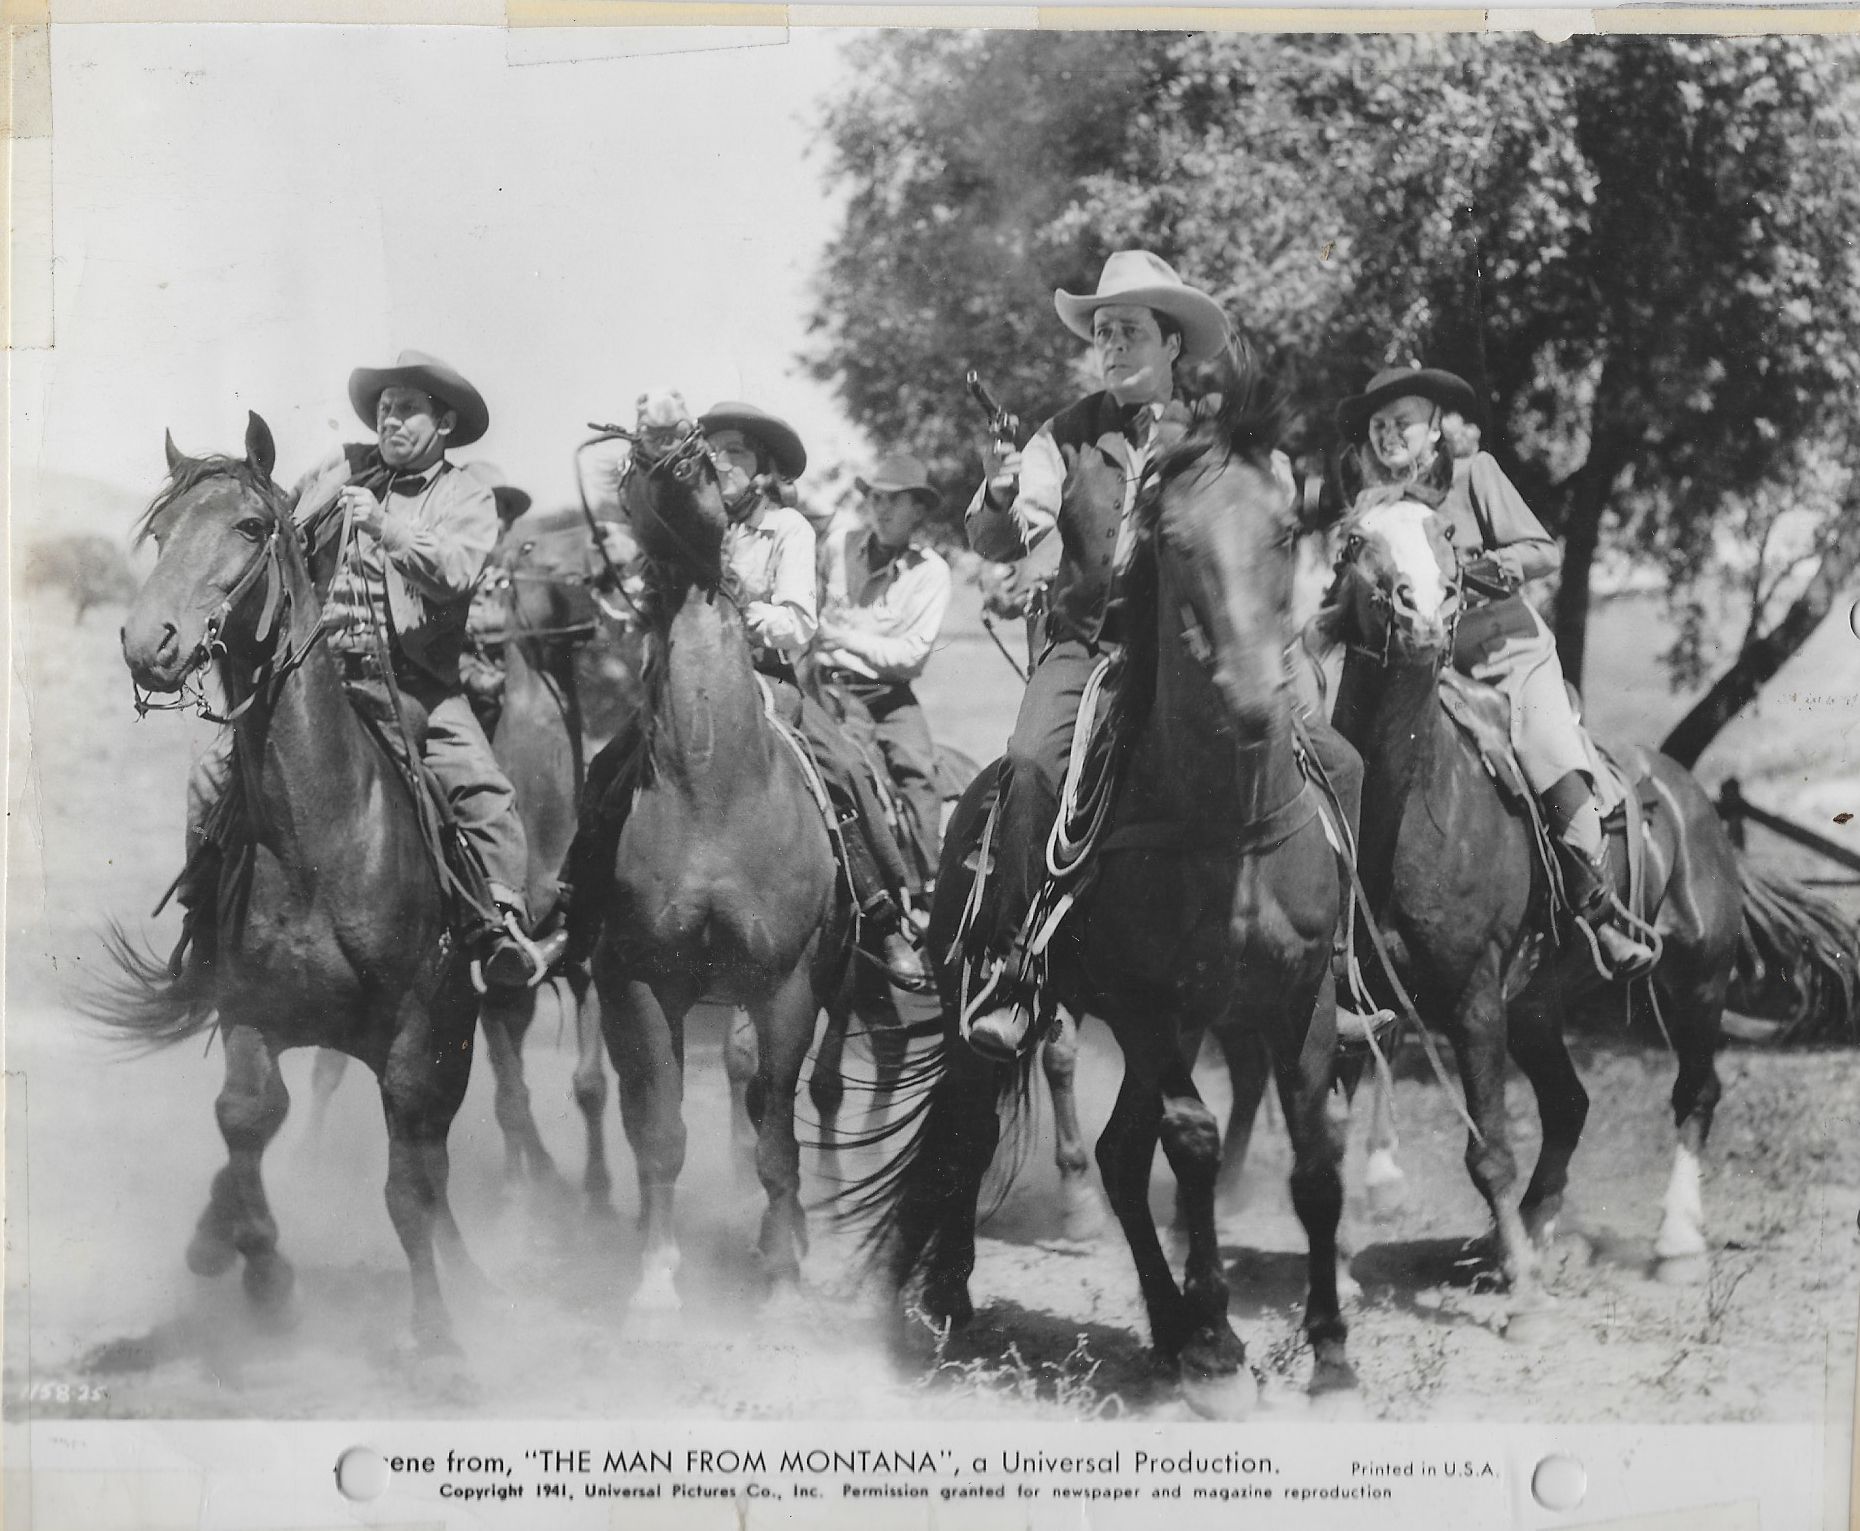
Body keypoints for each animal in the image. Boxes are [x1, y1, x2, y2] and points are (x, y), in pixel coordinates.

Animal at [102, 412, 483, 1361]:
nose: (149, 642)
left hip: (453, 1037)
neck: (322, 836)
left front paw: (439, 1336)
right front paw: (264, 1278)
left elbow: (407, 1187)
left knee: (433, 1157)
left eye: (247, 526)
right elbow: (245, 1117)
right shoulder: (250, 1010)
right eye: (161, 533)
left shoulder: (416, 1038)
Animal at [844, 349, 1354, 1428]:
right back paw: (947, 1294)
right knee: (974, 1126)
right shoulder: (1149, 1004)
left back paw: (1158, 1328)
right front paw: (1218, 1344)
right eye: (1176, 540)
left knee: (1116, 1155)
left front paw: (1328, 1349)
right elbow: (1191, 1143)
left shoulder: (1302, 997)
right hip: (993, 1010)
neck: (1224, 827)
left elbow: (1314, 1154)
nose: (1255, 697)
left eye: (1285, 532)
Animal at [1324, 494, 1740, 1331]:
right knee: (1570, 1105)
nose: (1424, 611)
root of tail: (1685, 795)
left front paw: (1523, 1303)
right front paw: (1342, 1282)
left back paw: (1674, 1244)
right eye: (1355, 540)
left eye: (1449, 537)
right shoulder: (1358, 1005)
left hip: (1697, 979)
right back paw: (1527, 1237)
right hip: (1539, 1005)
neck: (1403, 809)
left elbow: (1488, 1150)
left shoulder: (1474, 1000)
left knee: (1694, 1093)